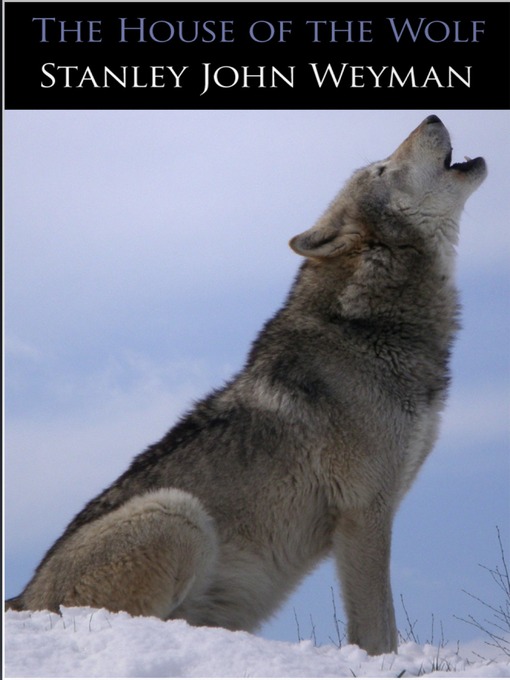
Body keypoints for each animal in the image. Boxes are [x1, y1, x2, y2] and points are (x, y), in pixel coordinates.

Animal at [6, 116, 486, 655]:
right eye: (382, 169)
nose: (431, 118)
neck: (368, 327)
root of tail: (23, 599)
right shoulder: (364, 511)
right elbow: (378, 629)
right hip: (178, 512)